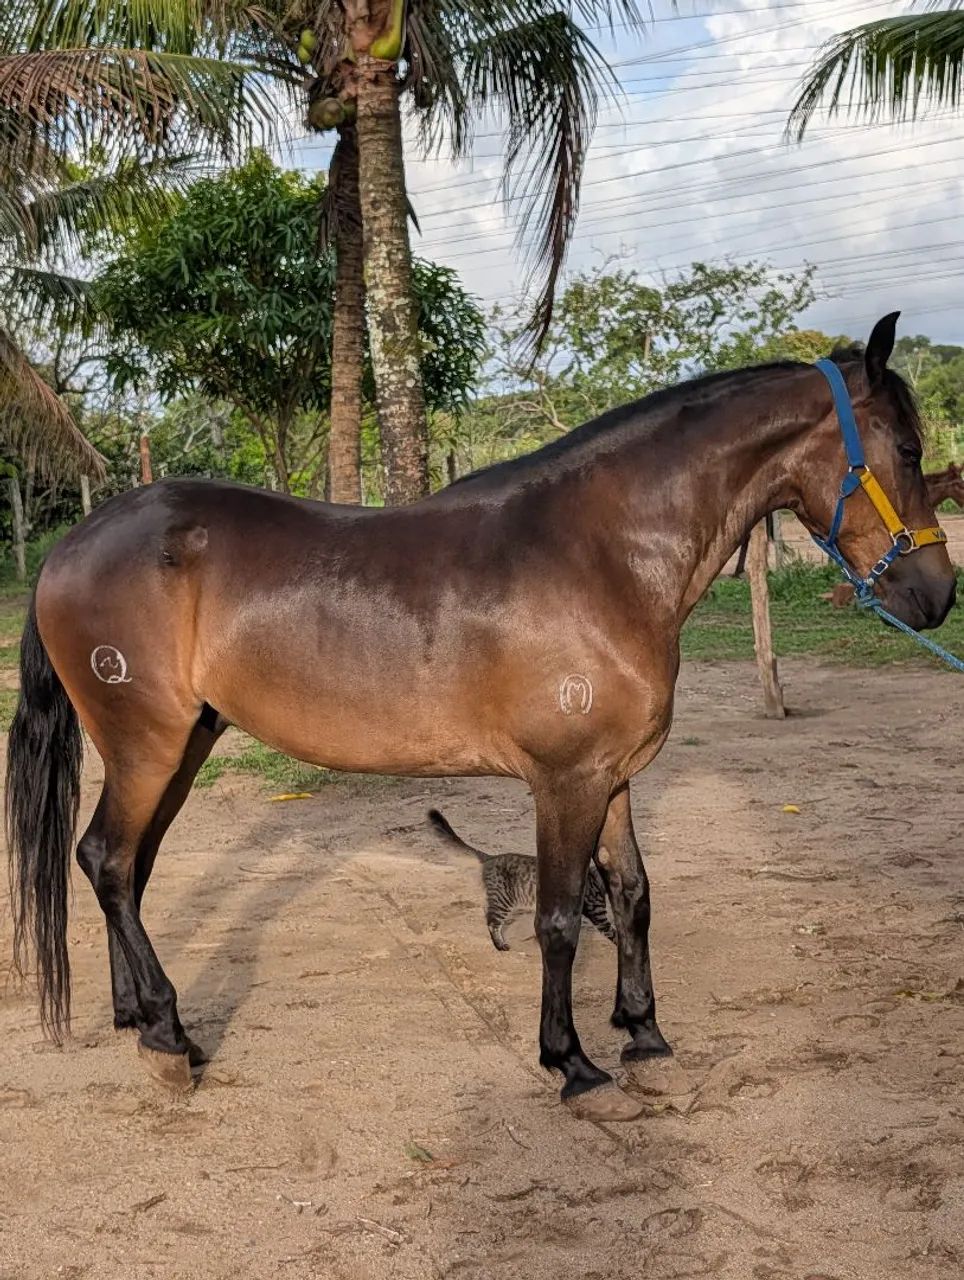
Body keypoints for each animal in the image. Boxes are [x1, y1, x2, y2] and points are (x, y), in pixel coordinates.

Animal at [6, 313, 956, 1123]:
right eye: (909, 448)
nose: (938, 595)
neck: (601, 555)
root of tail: (70, 545)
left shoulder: (611, 779)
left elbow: (635, 897)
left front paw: (645, 1035)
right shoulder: (565, 783)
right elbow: (560, 919)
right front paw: (573, 1062)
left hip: (184, 745)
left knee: (124, 867)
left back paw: (137, 1018)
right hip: (148, 745)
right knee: (108, 859)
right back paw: (168, 1037)